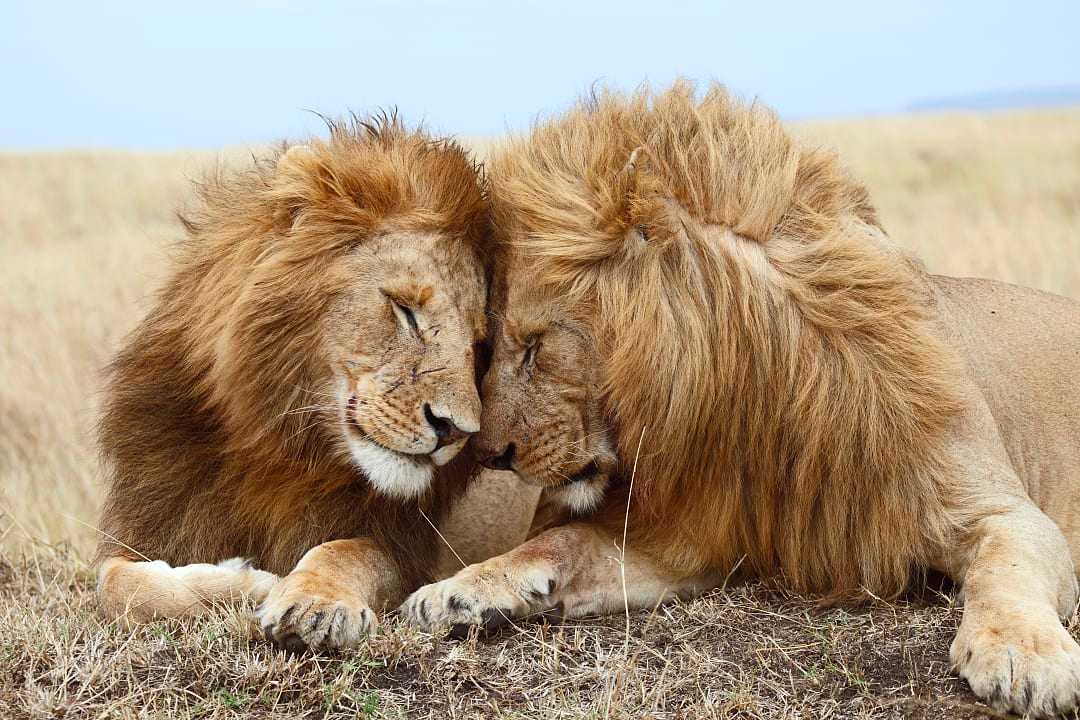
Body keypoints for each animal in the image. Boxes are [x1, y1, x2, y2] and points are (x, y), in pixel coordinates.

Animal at [95, 113, 511, 651]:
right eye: (405, 310)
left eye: (478, 345)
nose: (456, 431)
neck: (279, 444)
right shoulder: (147, 524)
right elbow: (116, 584)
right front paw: (245, 582)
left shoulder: (403, 548)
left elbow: (342, 551)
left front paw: (314, 603)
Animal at [401, 83, 1080, 716]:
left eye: (536, 344)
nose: (490, 453)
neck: (759, 389)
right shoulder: (689, 538)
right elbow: (562, 543)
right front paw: (459, 589)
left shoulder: (1000, 510)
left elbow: (1007, 569)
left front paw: (1023, 656)